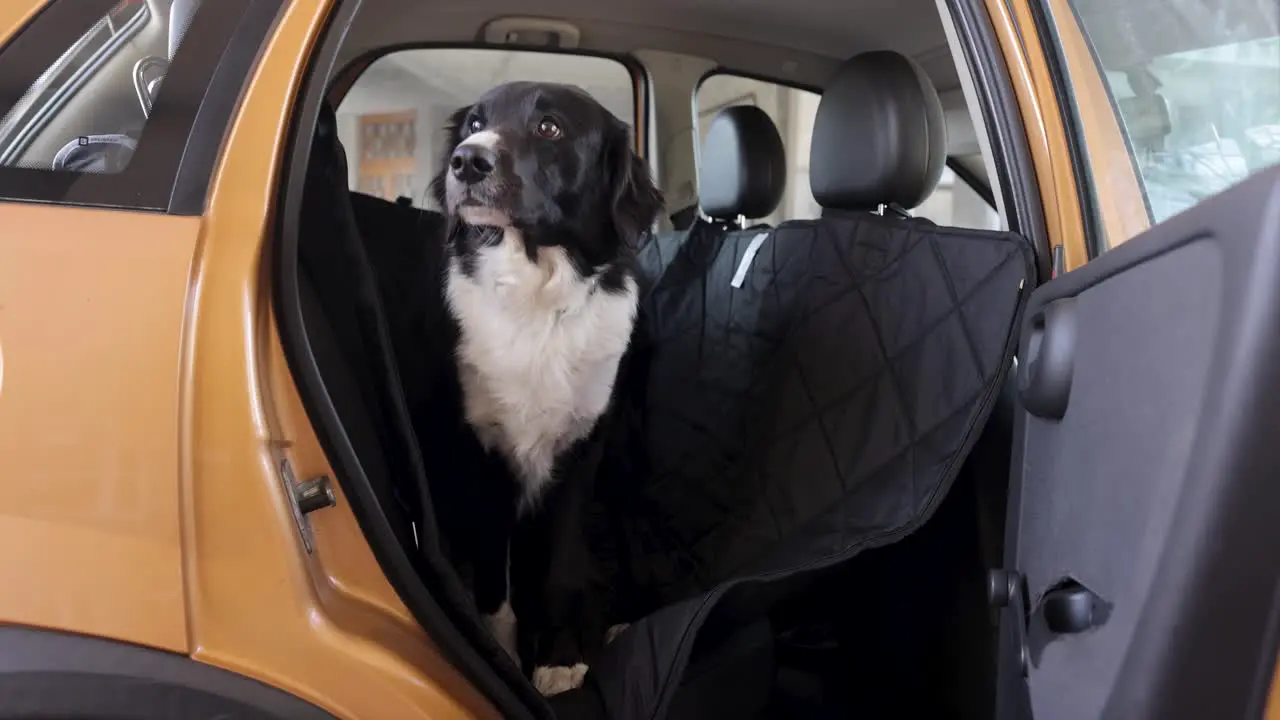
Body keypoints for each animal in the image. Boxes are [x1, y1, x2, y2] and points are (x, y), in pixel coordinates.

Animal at [430, 81, 665, 691]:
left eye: (549, 127)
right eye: (474, 123)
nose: (467, 161)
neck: (536, 293)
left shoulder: (581, 450)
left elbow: (562, 568)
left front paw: (558, 657)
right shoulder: (480, 451)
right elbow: (494, 579)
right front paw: (503, 652)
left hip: (625, 463)